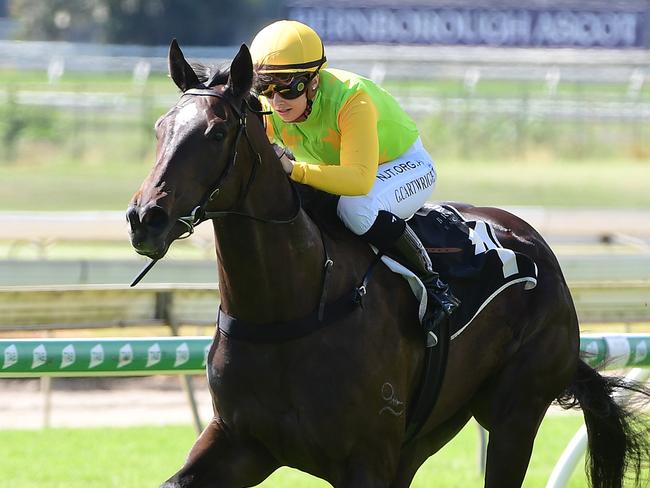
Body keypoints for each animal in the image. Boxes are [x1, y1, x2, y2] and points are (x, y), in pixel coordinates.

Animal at [124, 40, 644, 486]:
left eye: (216, 133)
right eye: (160, 127)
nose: (145, 218)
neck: (293, 305)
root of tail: (537, 245)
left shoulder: (366, 460)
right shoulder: (241, 443)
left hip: (514, 415)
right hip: (428, 431)